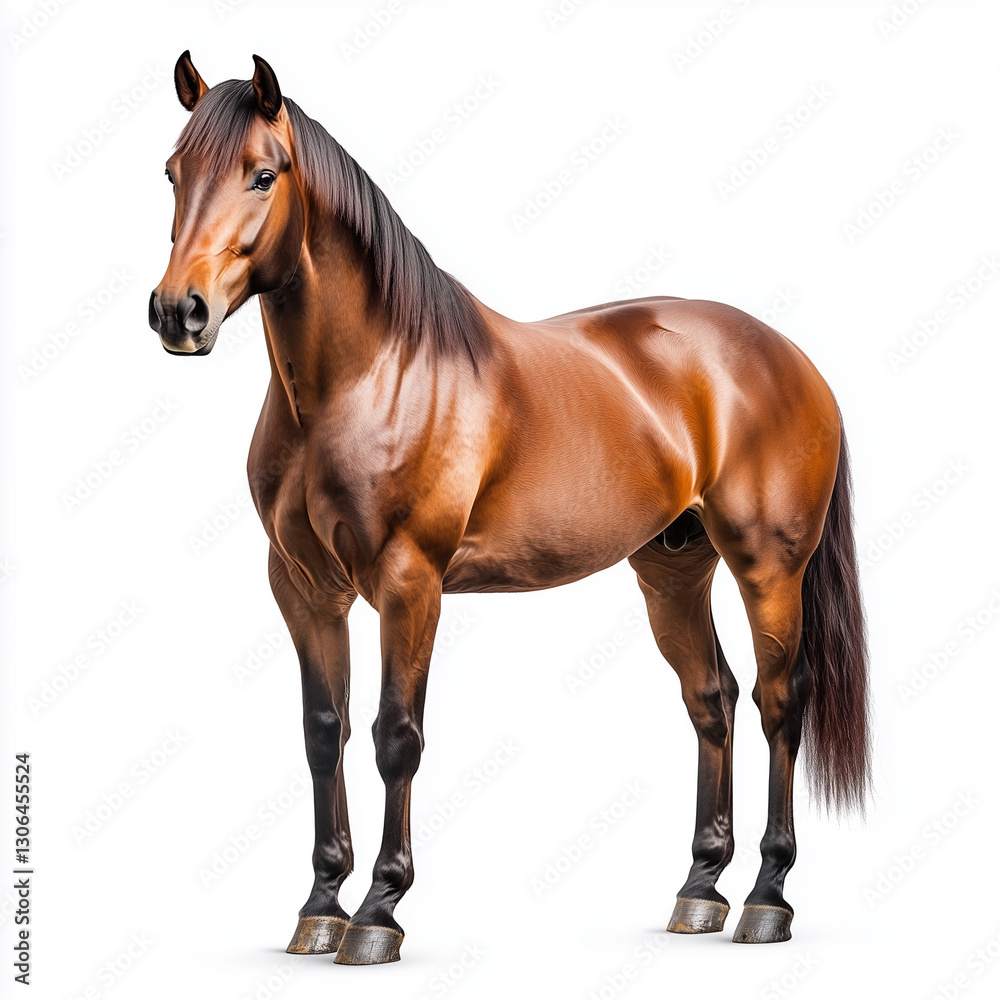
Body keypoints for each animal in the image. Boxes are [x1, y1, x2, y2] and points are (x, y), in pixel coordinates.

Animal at [148, 52, 871, 965]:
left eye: (263, 175)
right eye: (173, 172)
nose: (179, 313)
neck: (370, 375)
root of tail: (791, 357)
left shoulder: (409, 583)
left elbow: (396, 736)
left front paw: (379, 911)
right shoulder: (304, 588)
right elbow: (322, 732)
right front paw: (319, 906)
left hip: (768, 567)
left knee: (781, 703)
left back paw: (768, 899)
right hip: (673, 570)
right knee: (713, 698)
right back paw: (700, 890)